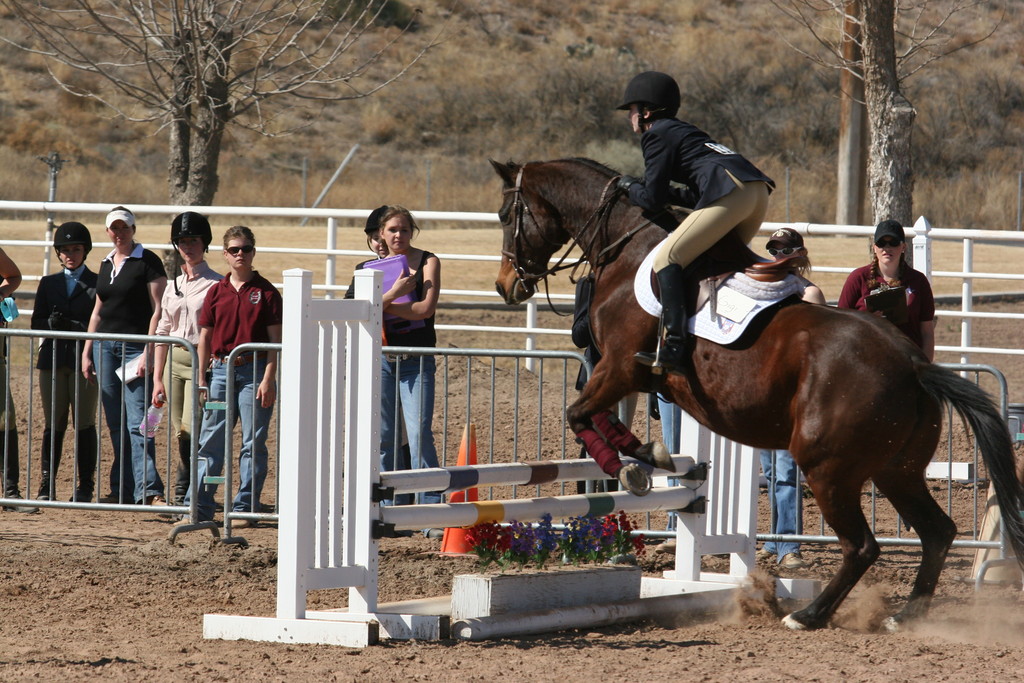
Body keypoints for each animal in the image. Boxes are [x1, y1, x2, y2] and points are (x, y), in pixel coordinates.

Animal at [487, 157, 1024, 634]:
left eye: (506, 214)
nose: (506, 285)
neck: (628, 246)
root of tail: (914, 364)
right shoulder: (623, 374)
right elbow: (592, 415)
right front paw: (648, 455)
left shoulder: (620, 366)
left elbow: (578, 414)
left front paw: (633, 463)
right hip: (898, 469)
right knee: (937, 532)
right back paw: (903, 615)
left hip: (829, 468)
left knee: (863, 546)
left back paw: (808, 616)